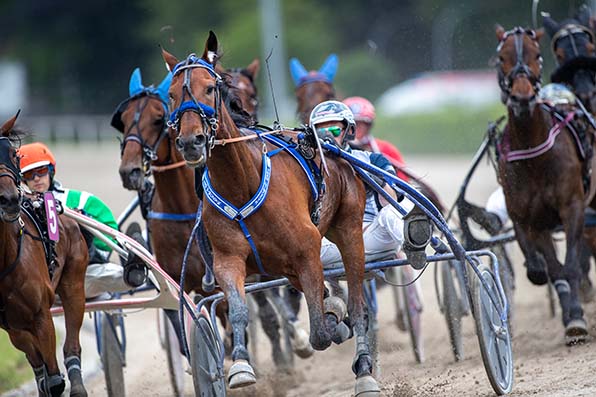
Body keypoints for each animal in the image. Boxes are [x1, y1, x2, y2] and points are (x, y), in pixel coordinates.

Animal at [0, 113, 89, 394]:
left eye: (13, 154)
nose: (9, 200)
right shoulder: (10, 324)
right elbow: (40, 369)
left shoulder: (41, 315)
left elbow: (55, 379)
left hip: (74, 286)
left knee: (71, 345)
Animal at [161, 31, 380, 392]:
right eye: (171, 93)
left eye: (210, 88)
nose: (191, 142)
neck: (242, 183)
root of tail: (333, 146)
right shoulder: (228, 260)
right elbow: (238, 310)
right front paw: (240, 367)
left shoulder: (307, 250)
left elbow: (320, 333)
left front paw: (331, 326)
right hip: (284, 265)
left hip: (349, 232)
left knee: (359, 304)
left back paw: (364, 370)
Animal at [494, 26, 596, 344]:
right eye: (501, 58)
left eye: (537, 55)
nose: (522, 98)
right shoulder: (530, 219)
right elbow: (549, 269)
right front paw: (571, 315)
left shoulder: (573, 206)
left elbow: (572, 265)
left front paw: (576, 316)